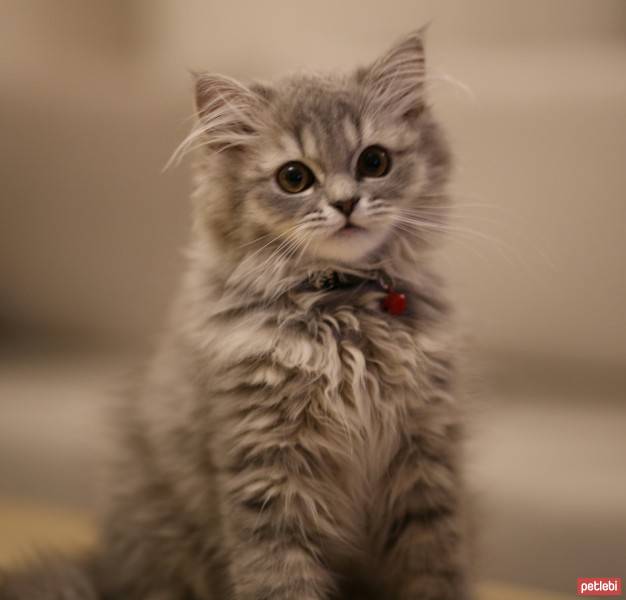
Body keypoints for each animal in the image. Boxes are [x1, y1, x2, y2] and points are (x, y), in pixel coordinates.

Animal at [0, 31, 470, 600]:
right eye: (294, 177)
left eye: (374, 162)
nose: (346, 203)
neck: (342, 311)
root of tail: (106, 571)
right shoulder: (267, 466)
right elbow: (281, 578)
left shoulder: (425, 459)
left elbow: (433, 570)